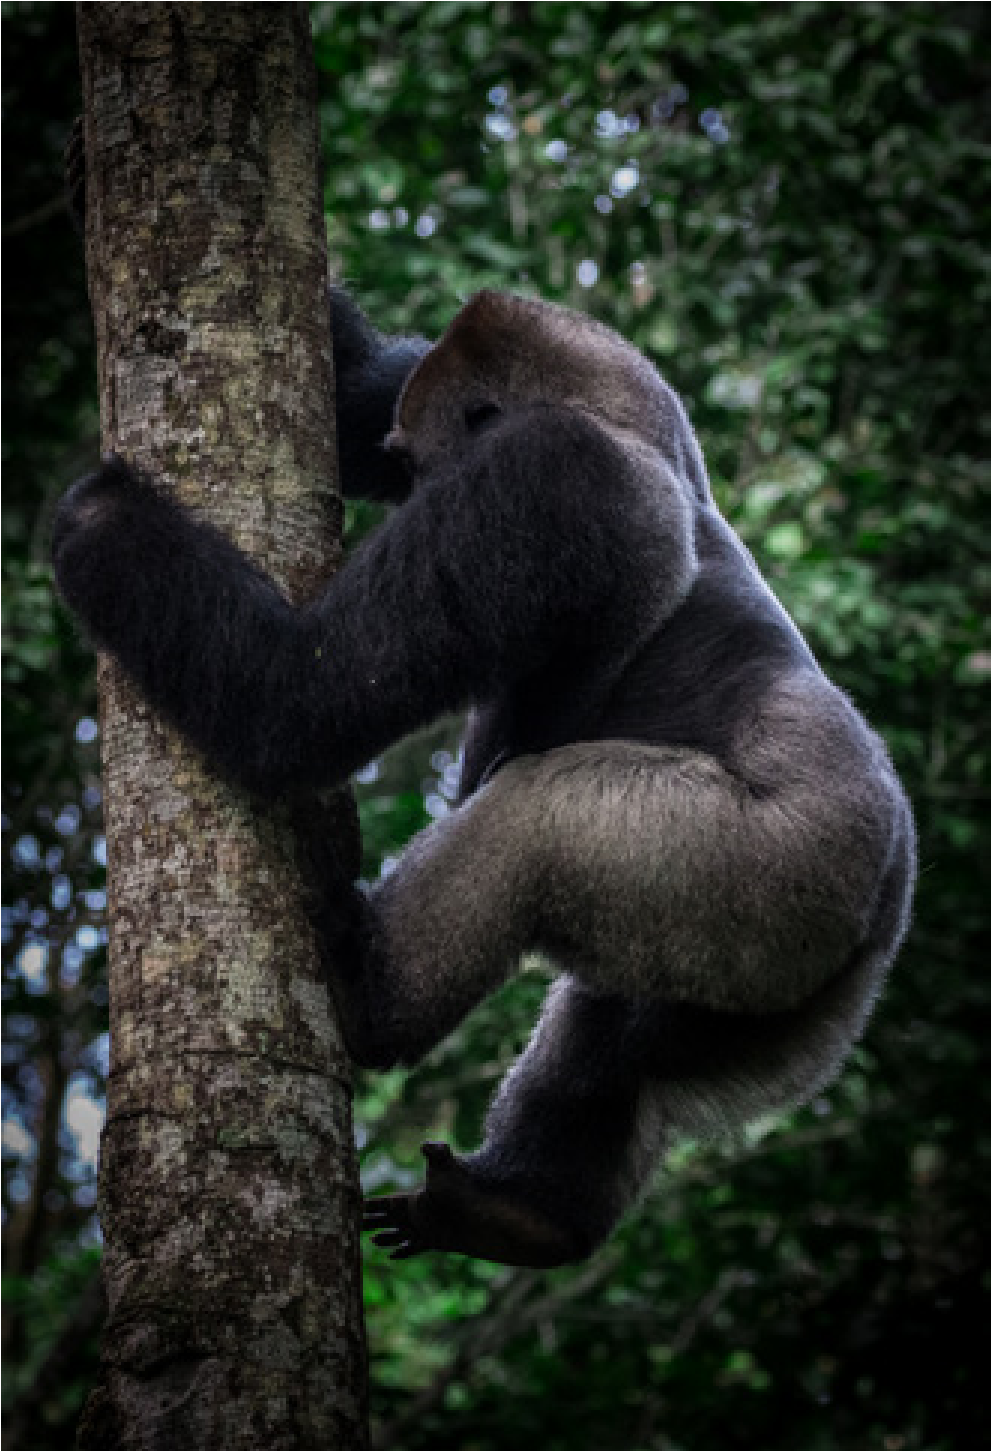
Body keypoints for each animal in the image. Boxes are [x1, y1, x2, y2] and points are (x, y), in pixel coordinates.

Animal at [51, 285, 916, 1268]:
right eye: (400, 464)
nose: (419, 487)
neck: (622, 418)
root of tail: (884, 914)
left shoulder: (542, 474)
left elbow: (300, 696)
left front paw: (101, 527)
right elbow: (358, 384)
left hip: (784, 873)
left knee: (538, 818)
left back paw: (373, 994)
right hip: (793, 993)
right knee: (623, 1043)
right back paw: (526, 1208)